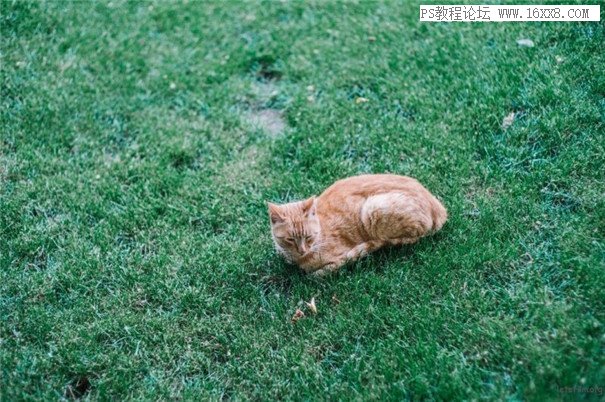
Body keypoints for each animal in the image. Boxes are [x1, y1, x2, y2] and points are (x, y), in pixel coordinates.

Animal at [266, 174, 446, 274]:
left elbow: (320, 273)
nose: (302, 250)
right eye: (290, 239)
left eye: (308, 237)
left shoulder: (339, 259)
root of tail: (439, 209)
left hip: (373, 208)